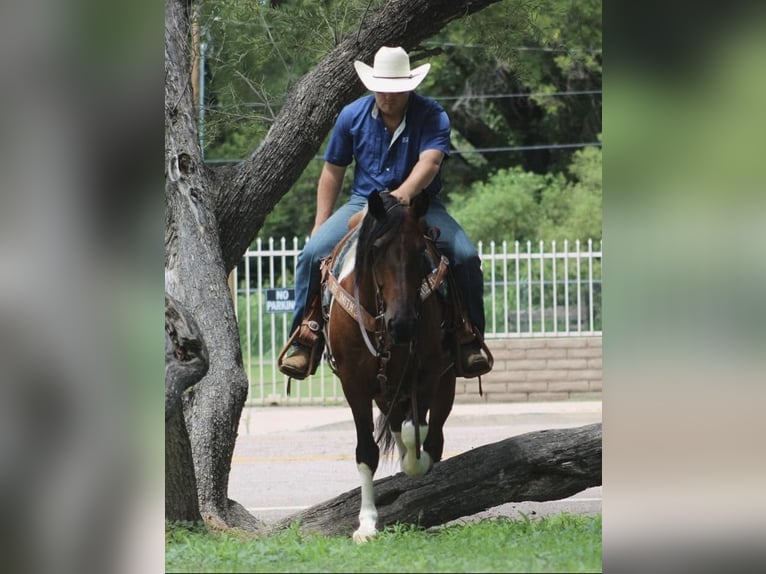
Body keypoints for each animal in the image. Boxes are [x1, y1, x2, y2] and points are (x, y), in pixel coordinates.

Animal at [321, 190, 456, 543]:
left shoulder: (427, 374)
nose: (404, 324)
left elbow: (417, 432)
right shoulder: (353, 384)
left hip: (443, 380)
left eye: (420, 250)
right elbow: (367, 451)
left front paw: (416, 463)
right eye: (377, 249)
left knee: (432, 431)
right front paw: (367, 523)